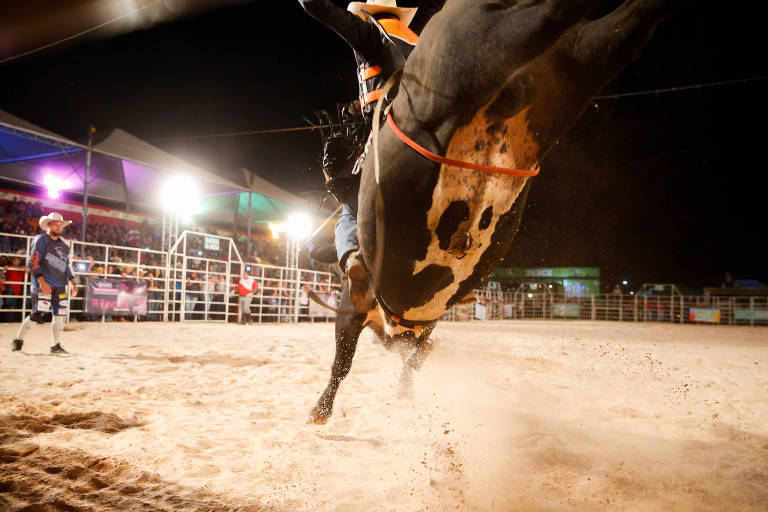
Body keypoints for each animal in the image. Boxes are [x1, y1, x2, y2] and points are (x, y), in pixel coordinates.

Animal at [306, 0, 684, 424]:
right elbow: (412, 357)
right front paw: (403, 391)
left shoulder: (355, 301)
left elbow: (344, 360)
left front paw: (321, 409)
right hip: (578, 65)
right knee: (625, 22)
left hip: (479, 48)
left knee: (548, 14)